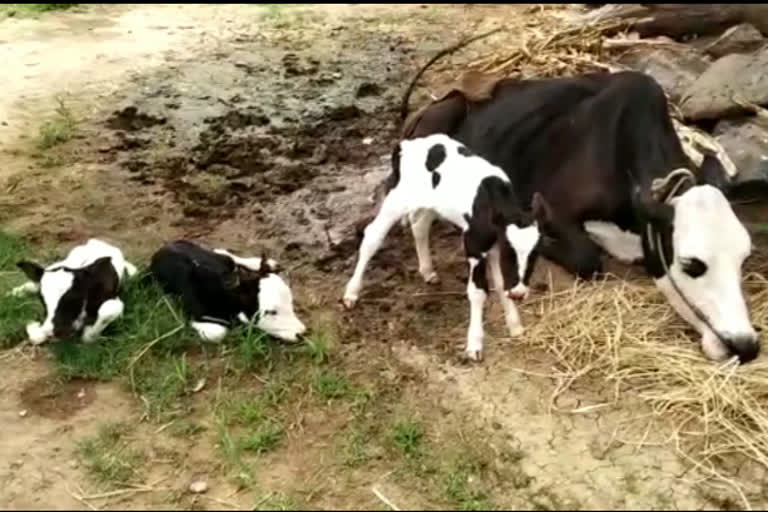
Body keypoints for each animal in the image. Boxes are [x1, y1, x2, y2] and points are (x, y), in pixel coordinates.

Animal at [148, 240, 308, 344]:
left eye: (290, 302)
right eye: (271, 312)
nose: (301, 333)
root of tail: (164, 248)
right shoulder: (191, 313)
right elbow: (217, 333)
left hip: (220, 258)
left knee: (226, 254)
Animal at [342, 134, 552, 362]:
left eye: (534, 255)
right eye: (509, 252)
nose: (520, 293)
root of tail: (408, 144)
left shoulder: (493, 246)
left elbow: (501, 283)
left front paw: (515, 325)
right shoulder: (474, 245)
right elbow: (478, 292)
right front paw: (474, 344)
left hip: (432, 205)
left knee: (420, 225)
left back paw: (427, 271)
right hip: (398, 199)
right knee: (372, 237)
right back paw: (351, 293)